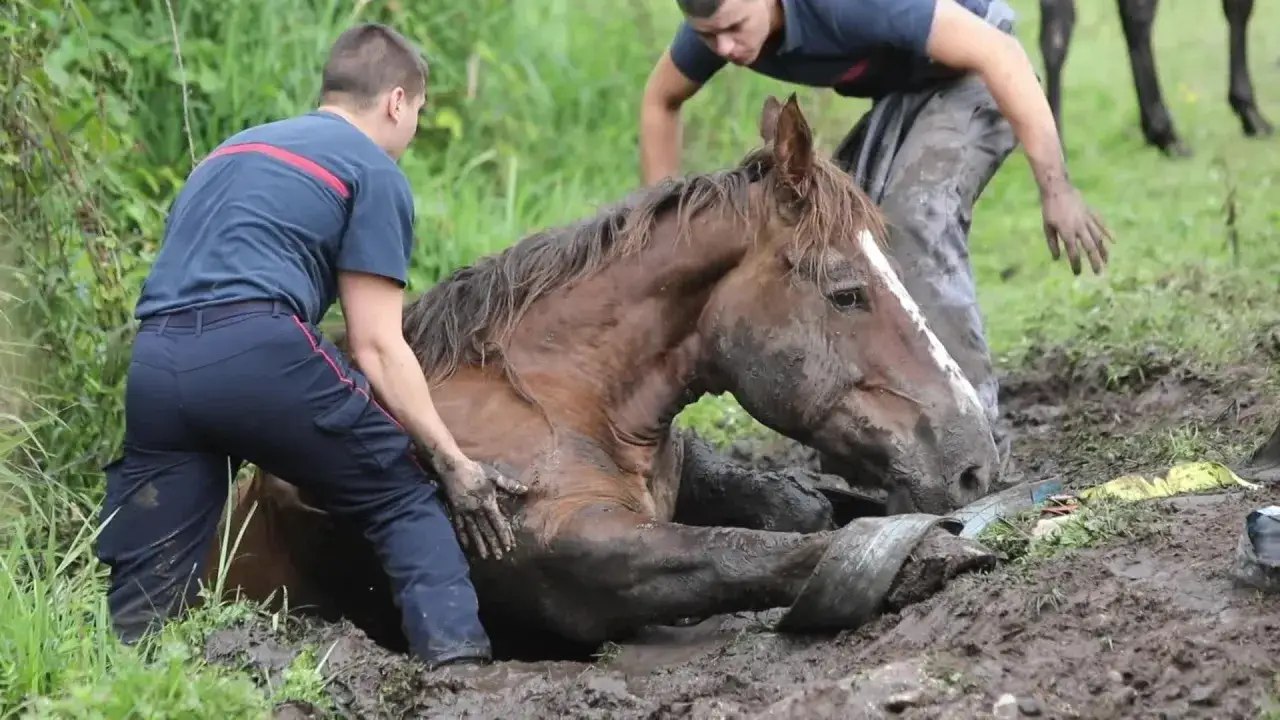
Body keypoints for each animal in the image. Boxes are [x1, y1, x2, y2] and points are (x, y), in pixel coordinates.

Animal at [204, 94, 1002, 659]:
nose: (975, 464)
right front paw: (926, 553)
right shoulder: (591, 556)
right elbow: (744, 550)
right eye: (846, 292)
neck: (559, 401)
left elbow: (798, 507)